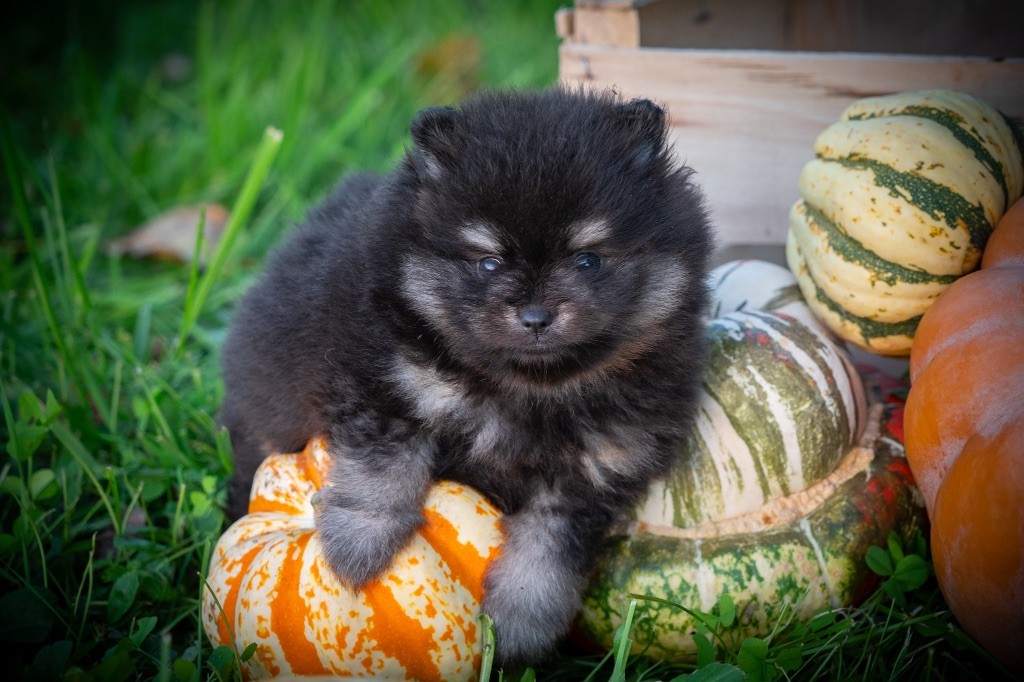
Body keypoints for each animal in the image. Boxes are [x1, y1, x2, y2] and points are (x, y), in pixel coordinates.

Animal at [218, 86, 712, 663]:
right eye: (489, 263)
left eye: (588, 259)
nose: (536, 316)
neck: (529, 389)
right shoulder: (387, 388)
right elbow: (380, 470)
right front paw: (358, 545)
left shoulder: (591, 474)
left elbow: (546, 556)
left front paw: (518, 628)